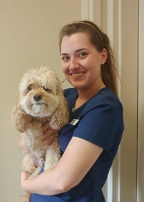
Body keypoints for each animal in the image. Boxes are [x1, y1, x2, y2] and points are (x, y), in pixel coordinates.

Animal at [11, 66, 69, 200]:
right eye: (29, 88)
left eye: (45, 87)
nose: (37, 96)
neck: (41, 118)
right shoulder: (28, 124)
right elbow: (32, 126)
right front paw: (34, 141)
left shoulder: (54, 141)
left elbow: (52, 158)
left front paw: (49, 168)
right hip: (28, 161)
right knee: (30, 171)